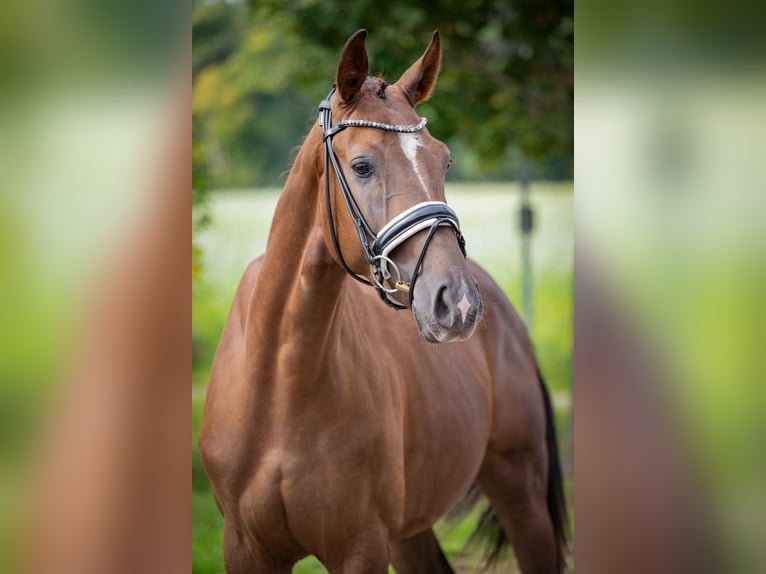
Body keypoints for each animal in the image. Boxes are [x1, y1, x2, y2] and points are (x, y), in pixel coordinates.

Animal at [199, 29, 568, 574]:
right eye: (361, 165)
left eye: (444, 160)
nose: (458, 303)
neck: (279, 384)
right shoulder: (245, 549)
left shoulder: (361, 546)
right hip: (409, 531)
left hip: (520, 491)